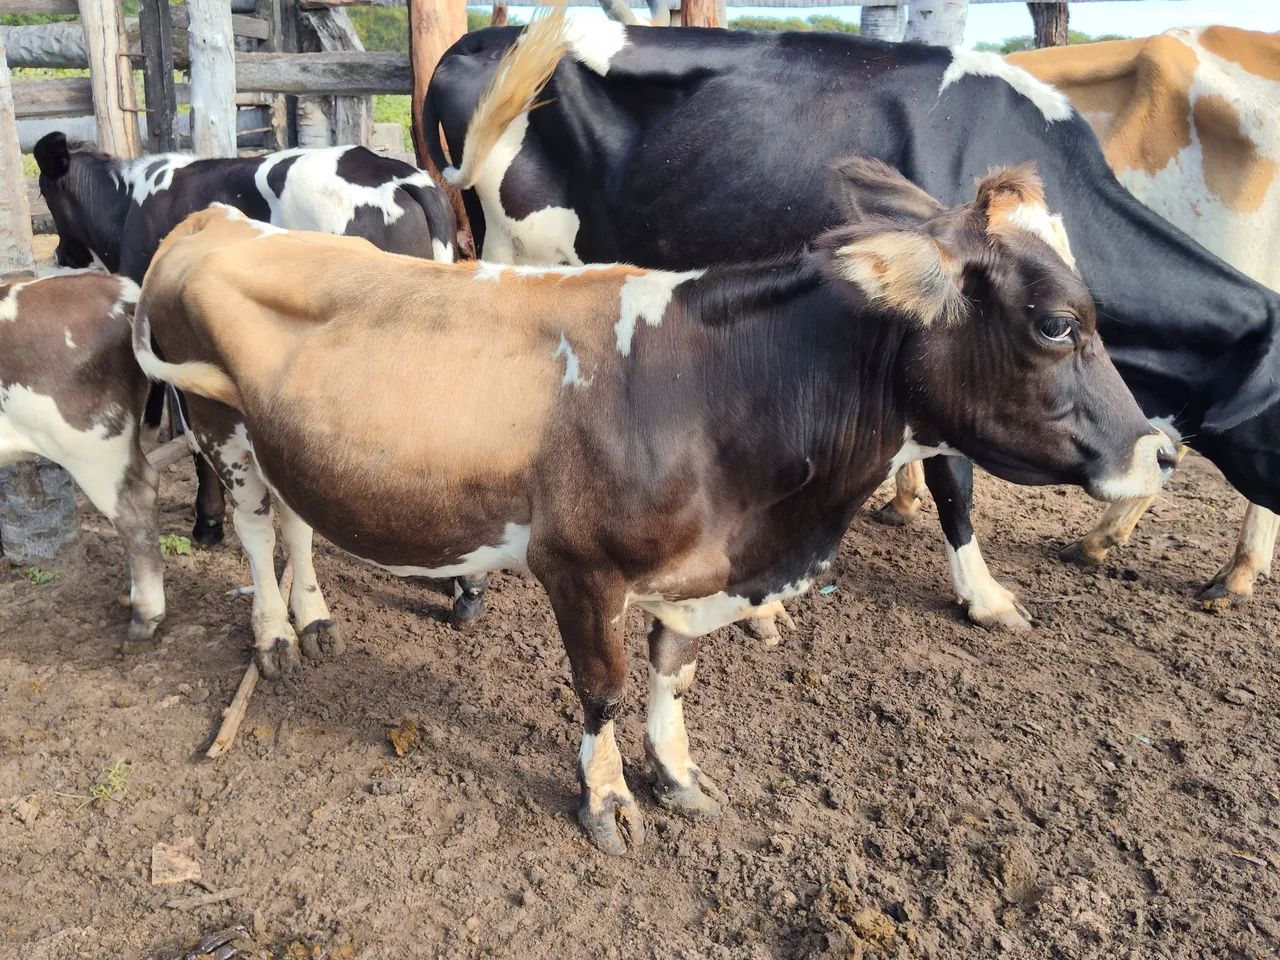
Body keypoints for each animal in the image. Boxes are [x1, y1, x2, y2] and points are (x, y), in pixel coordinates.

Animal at [30, 133, 488, 625]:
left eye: (46, 192)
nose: (59, 253)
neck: (130, 202)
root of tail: (401, 176)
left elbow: (195, 443)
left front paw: (207, 523)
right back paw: (466, 586)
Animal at [132, 167, 1174, 853]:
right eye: (1057, 324)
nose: (1159, 452)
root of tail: (217, 218)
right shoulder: (581, 571)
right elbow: (604, 687)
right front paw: (604, 798)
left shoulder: (703, 571)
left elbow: (674, 673)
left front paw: (676, 773)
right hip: (223, 429)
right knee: (257, 529)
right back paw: (273, 630)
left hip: (291, 445)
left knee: (298, 521)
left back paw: (313, 615)